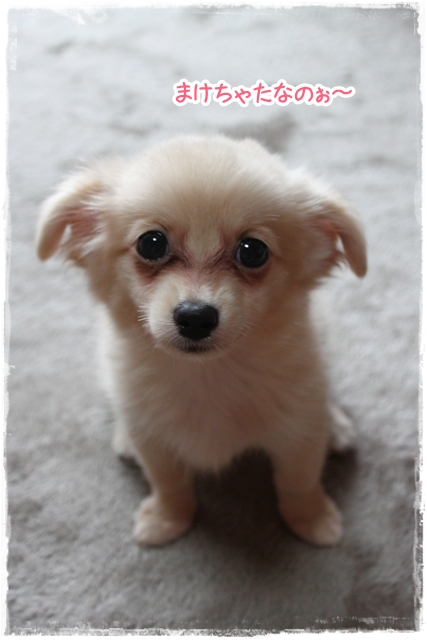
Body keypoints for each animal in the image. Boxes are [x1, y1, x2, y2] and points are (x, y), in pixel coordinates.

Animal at [36, 135, 366, 547]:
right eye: (151, 244)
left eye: (253, 251)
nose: (195, 316)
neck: (208, 375)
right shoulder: (155, 441)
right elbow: (169, 483)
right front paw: (168, 520)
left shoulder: (298, 432)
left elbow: (298, 481)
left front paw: (312, 520)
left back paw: (335, 425)